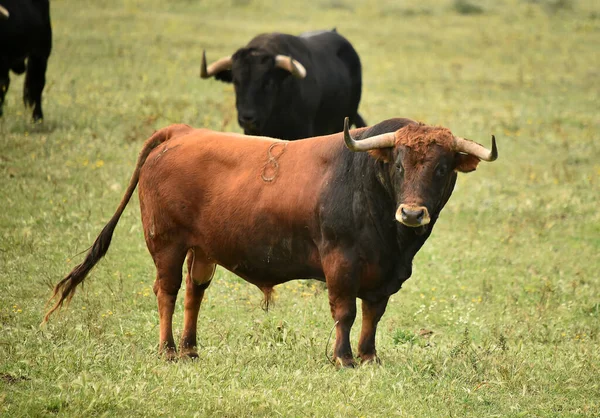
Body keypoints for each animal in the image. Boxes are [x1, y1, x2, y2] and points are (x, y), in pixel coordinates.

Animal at [44, 116, 496, 366]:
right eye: (399, 165)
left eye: (441, 168)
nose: (413, 213)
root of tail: (181, 133)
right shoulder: (341, 264)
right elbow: (346, 312)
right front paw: (344, 358)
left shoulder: (384, 275)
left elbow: (372, 315)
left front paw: (369, 357)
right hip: (166, 243)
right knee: (166, 292)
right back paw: (169, 350)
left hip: (202, 249)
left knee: (193, 293)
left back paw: (190, 349)